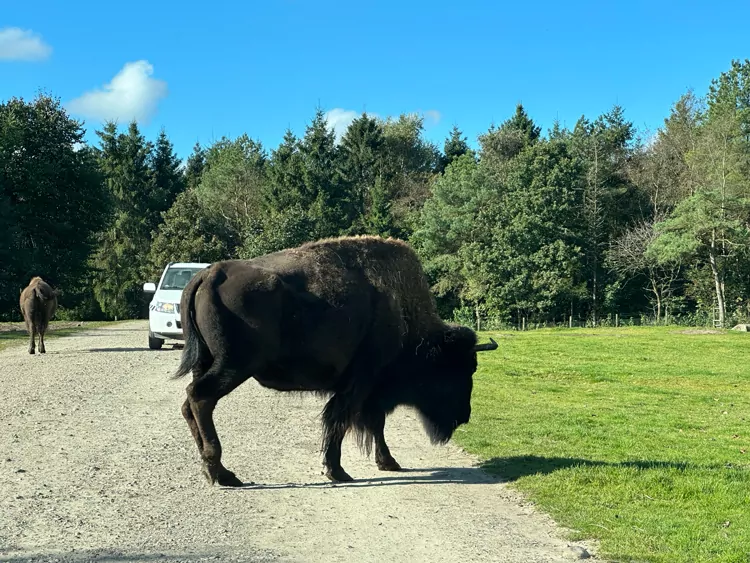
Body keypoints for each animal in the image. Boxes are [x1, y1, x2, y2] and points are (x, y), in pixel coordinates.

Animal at [176, 236, 500, 486]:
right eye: (460, 369)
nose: (463, 415)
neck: (403, 316)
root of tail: (211, 273)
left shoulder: (368, 390)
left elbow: (372, 424)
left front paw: (387, 462)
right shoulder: (361, 382)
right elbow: (341, 421)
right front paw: (338, 471)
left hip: (206, 363)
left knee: (189, 404)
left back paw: (211, 469)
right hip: (233, 367)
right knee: (200, 398)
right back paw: (222, 474)